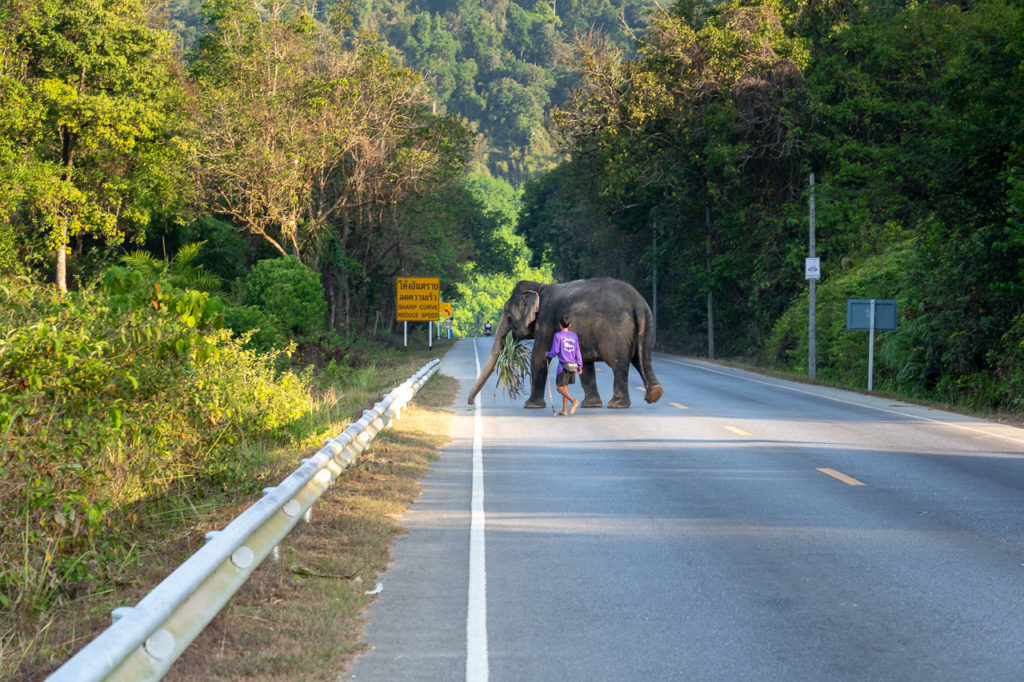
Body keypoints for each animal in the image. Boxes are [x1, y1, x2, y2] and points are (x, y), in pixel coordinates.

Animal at [466, 278, 663, 405]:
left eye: (507, 315)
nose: (470, 402)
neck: (540, 288)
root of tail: (638, 303)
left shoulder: (546, 319)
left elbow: (539, 355)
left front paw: (531, 405)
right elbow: (585, 362)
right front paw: (591, 404)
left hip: (616, 332)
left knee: (619, 364)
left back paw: (617, 404)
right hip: (647, 326)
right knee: (642, 359)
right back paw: (654, 394)